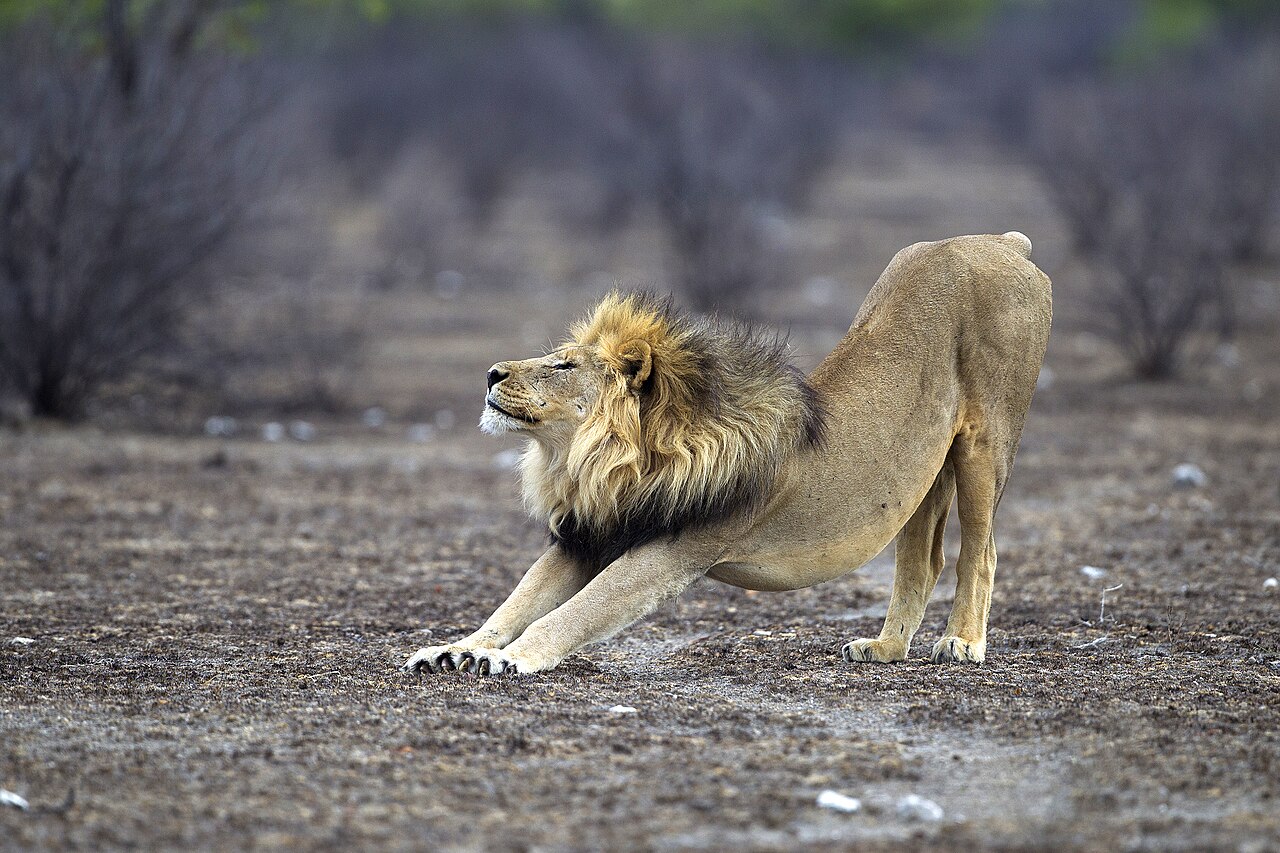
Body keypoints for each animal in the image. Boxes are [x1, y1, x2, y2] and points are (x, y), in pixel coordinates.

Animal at [405, 232, 1051, 675]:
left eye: (563, 366)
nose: (490, 373)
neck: (594, 463)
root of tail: (1002, 241)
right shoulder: (589, 534)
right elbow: (516, 602)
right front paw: (454, 648)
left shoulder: (673, 551)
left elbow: (576, 611)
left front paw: (511, 658)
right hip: (922, 471)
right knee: (923, 559)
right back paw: (886, 647)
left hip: (985, 442)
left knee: (981, 550)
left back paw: (963, 641)